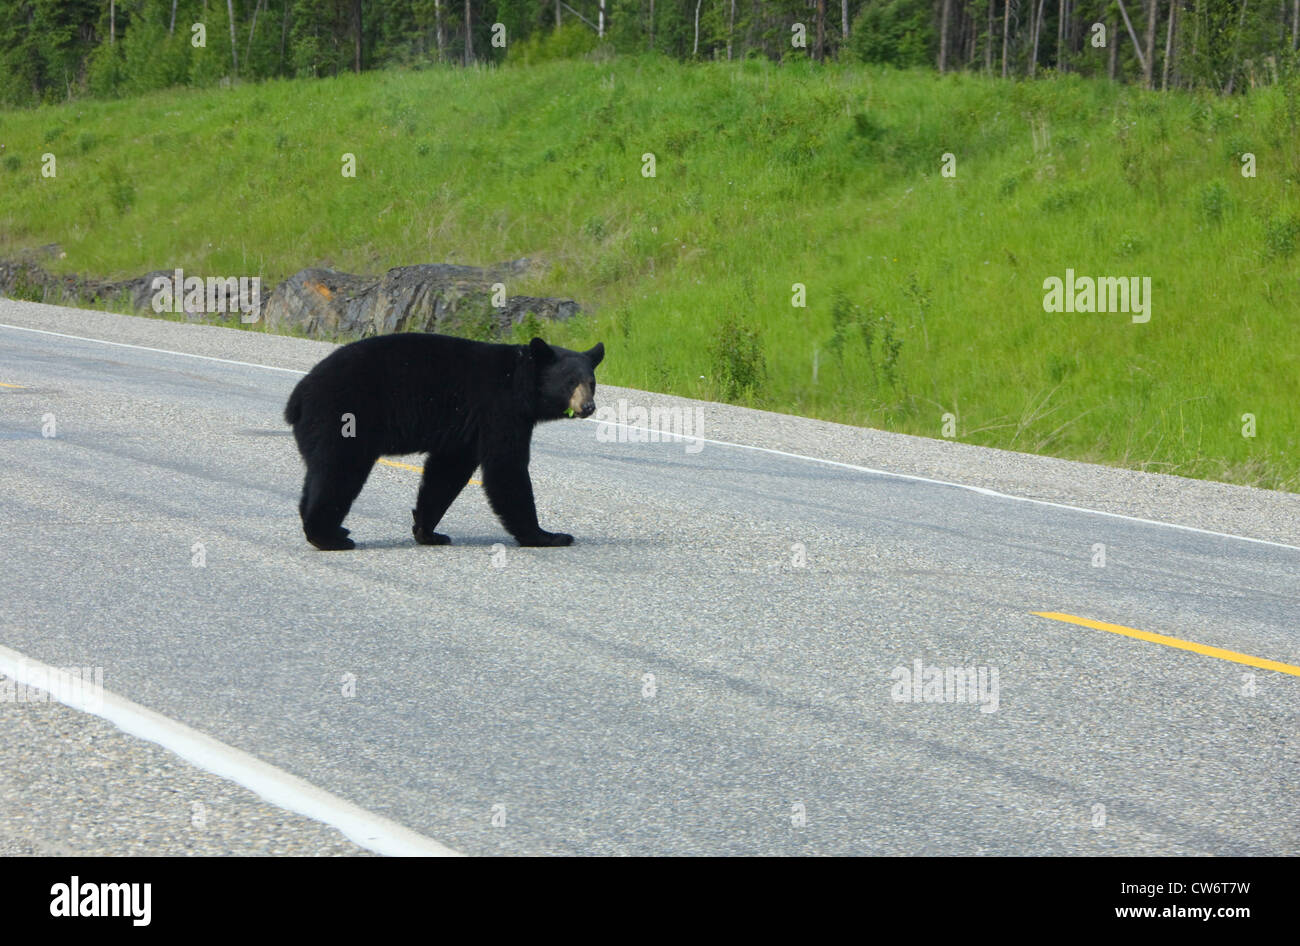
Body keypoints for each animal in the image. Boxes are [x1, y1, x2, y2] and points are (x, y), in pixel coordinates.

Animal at [284, 335, 603, 550]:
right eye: (570, 382)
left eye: (592, 382)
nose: (588, 406)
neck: (519, 382)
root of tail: (298, 396)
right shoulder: (498, 410)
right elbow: (505, 469)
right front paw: (547, 535)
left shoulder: (464, 430)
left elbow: (446, 472)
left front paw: (428, 532)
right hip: (343, 418)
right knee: (339, 472)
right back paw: (328, 537)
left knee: (318, 474)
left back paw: (332, 530)